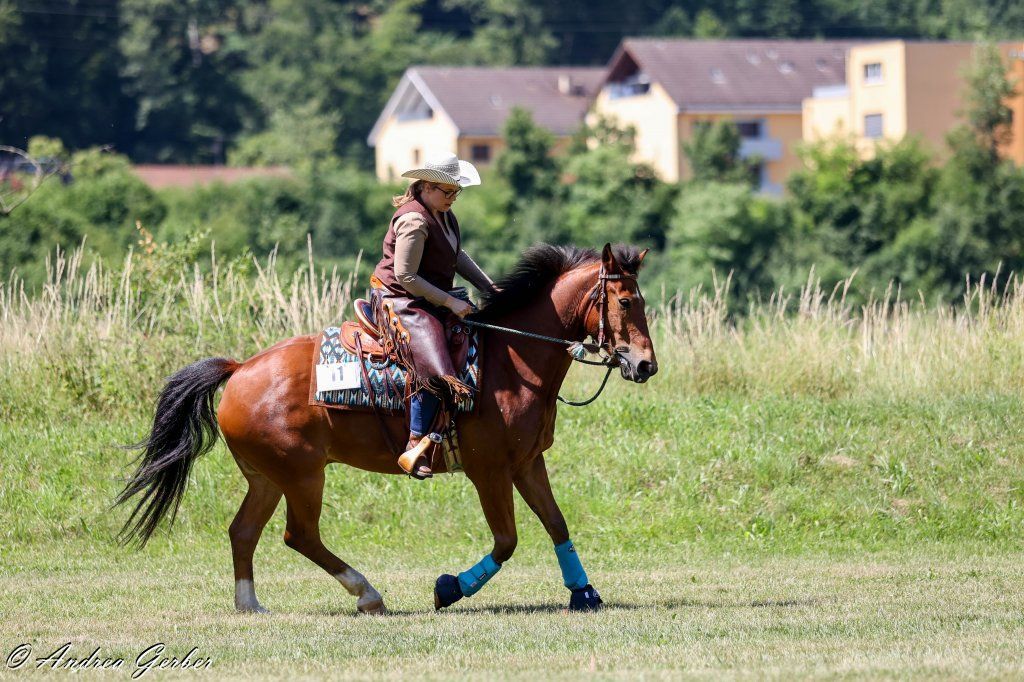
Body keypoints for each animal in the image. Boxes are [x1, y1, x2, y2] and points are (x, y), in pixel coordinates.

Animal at [114, 243, 658, 614]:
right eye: (625, 302)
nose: (645, 365)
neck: (513, 360)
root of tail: (240, 367)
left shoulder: (527, 463)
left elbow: (557, 524)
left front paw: (583, 592)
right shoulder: (489, 472)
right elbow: (507, 540)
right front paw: (449, 588)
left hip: (267, 477)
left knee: (243, 531)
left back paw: (251, 604)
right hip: (303, 476)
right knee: (299, 535)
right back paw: (367, 594)